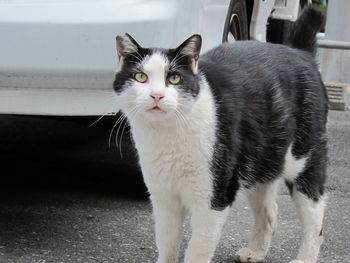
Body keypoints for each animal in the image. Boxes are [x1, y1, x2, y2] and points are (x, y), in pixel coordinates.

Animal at [113, 6, 328, 263]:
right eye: (140, 77)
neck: (167, 136)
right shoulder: (163, 198)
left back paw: (305, 256)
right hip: (261, 161)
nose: (156, 95)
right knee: (270, 210)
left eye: (174, 78)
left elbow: (197, 250)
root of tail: (298, 50)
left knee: (315, 216)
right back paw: (255, 251)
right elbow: (166, 242)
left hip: (304, 160)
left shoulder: (212, 199)